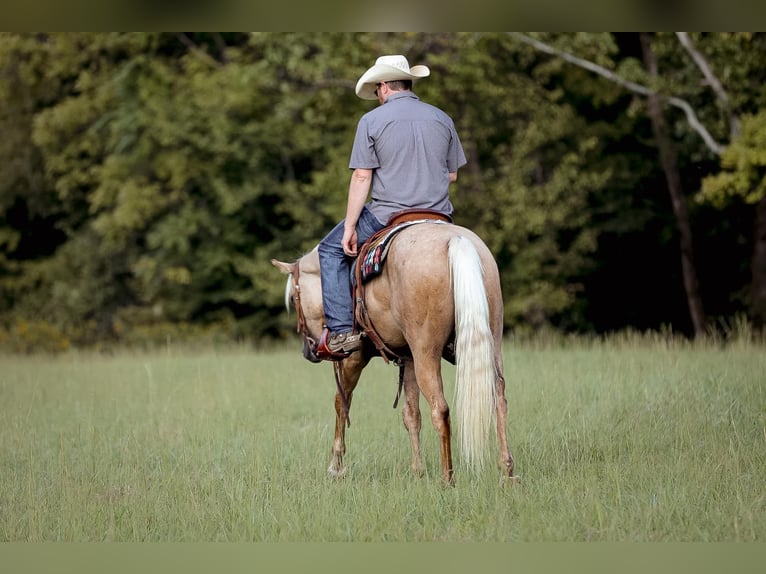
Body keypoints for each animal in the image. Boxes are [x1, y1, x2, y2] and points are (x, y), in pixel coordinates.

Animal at [271, 221, 516, 485]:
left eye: (294, 298)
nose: (309, 351)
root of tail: (457, 241)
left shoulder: (353, 358)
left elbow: (342, 402)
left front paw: (336, 468)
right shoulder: (408, 359)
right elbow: (411, 414)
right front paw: (417, 471)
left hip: (426, 354)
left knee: (440, 409)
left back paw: (447, 479)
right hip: (491, 343)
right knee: (499, 400)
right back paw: (507, 471)